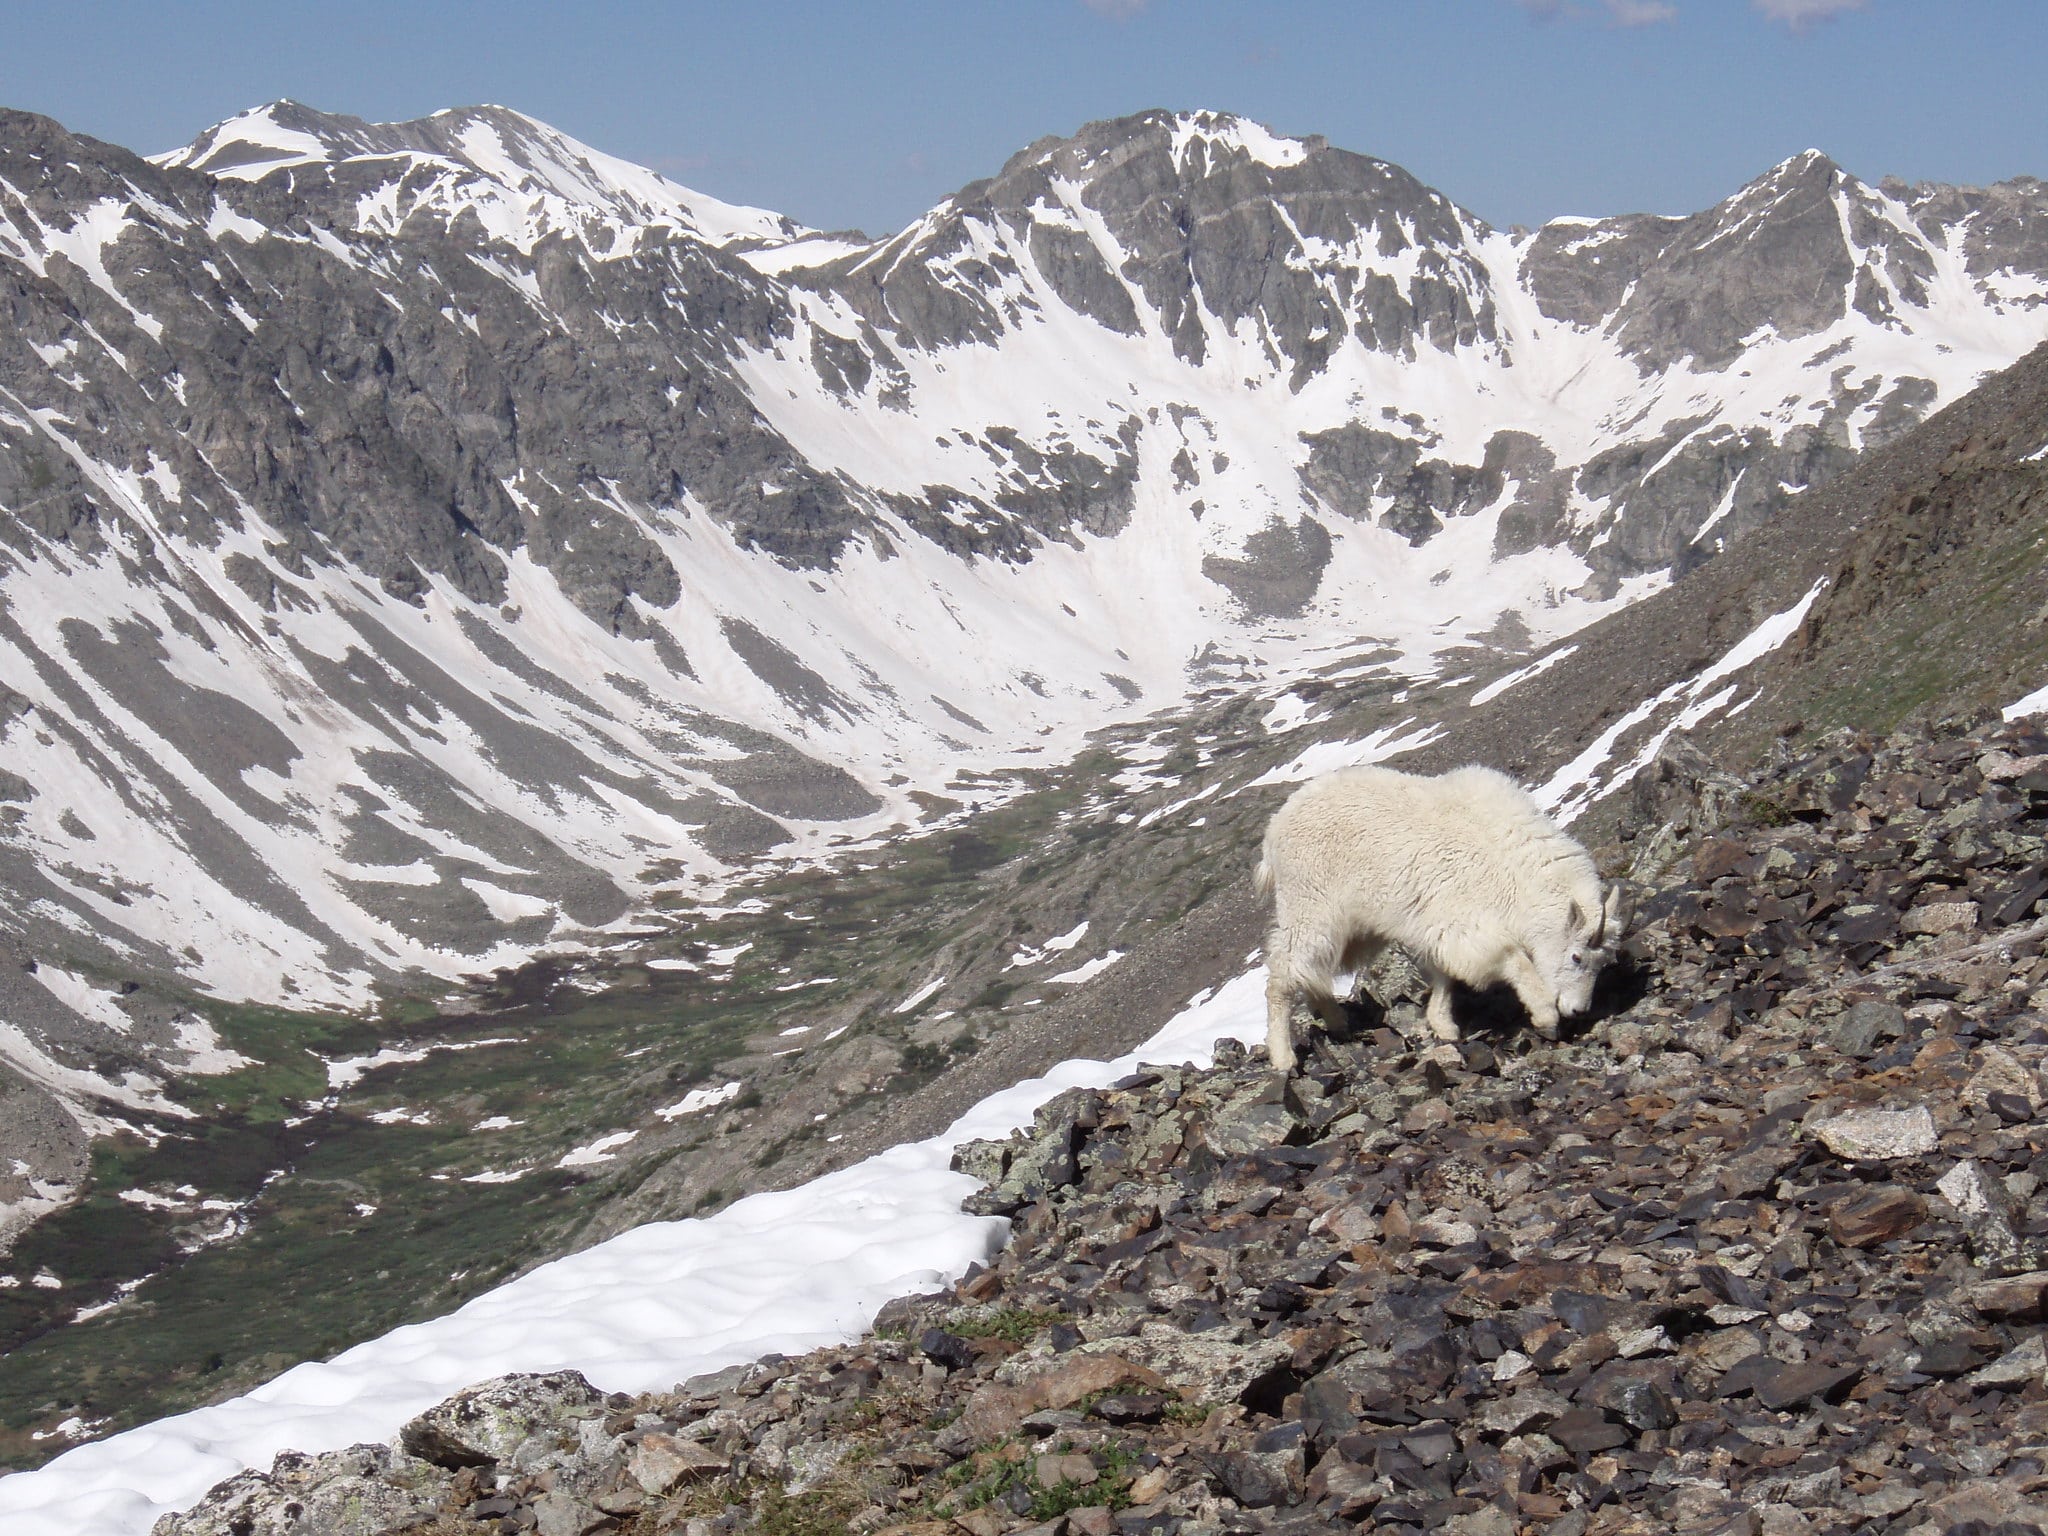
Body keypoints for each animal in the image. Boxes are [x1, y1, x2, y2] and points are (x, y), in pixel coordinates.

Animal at [1253, 765, 1622, 1073]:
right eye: (1576, 957)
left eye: (1604, 963)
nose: (1578, 1011)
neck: (1513, 870)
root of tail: (1273, 831)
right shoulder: (1467, 923)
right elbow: (1513, 960)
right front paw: (1545, 1015)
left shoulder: (1438, 926)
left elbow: (1445, 974)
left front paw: (1443, 1025)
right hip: (1309, 906)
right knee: (1285, 972)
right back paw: (1284, 1058)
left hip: (1355, 927)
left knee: (1313, 972)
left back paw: (1338, 1023)